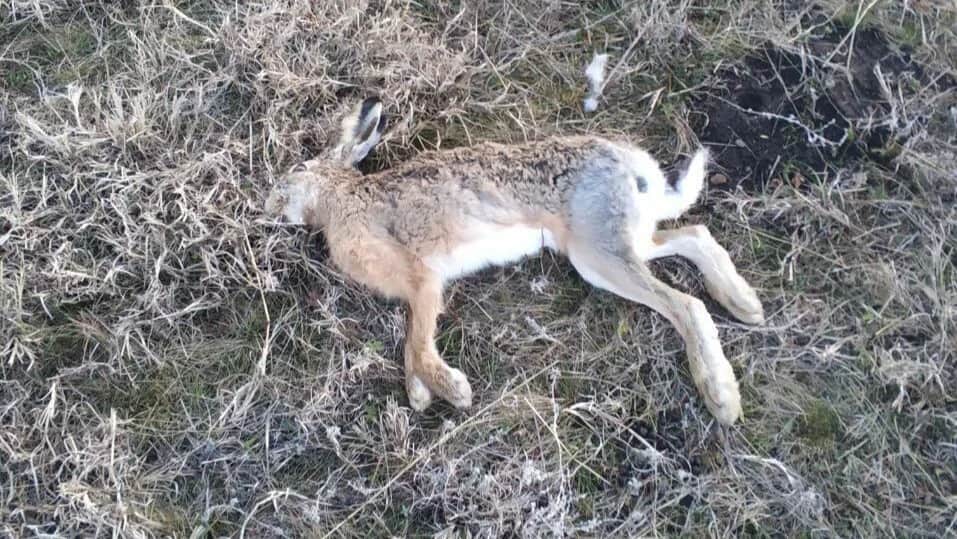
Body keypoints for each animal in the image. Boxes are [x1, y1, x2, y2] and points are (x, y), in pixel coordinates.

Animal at [266, 97, 764, 425]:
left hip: (597, 252)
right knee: (693, 236)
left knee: (686, 305)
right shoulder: (419, 288)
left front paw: (453, 391)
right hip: (614, 242)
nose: (272, 201)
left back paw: (722, 397)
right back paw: (746, 304)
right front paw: (420, 395)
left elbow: (418, 343)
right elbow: (411, 342)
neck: (338, 198)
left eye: (296, 172)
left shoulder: (423, 278)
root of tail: (629, 163)